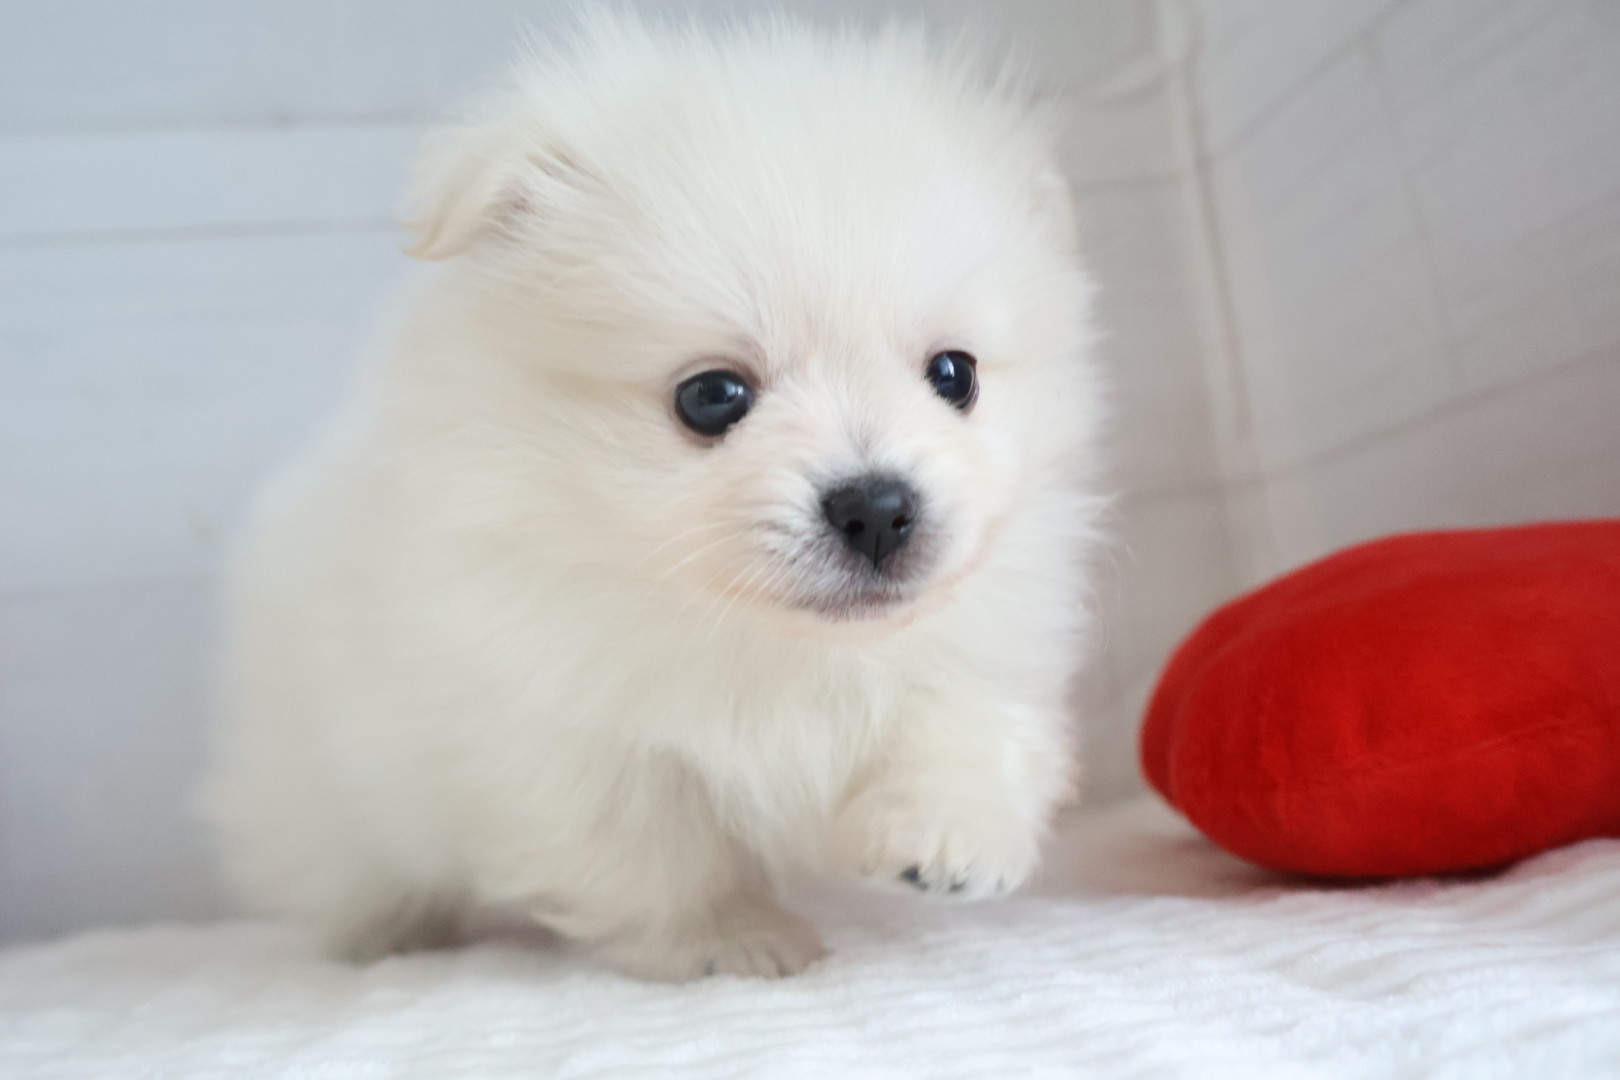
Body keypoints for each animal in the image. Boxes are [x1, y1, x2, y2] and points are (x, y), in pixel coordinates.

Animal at [198, 13, 1106, 982]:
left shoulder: (985, 632)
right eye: (712, 397)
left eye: (953, 376)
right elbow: (655, 854)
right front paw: (729, 939)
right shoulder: (559, 737)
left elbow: (966, 722)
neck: (765, 637)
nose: (877, 508)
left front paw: (946, 840)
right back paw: (390, 936)